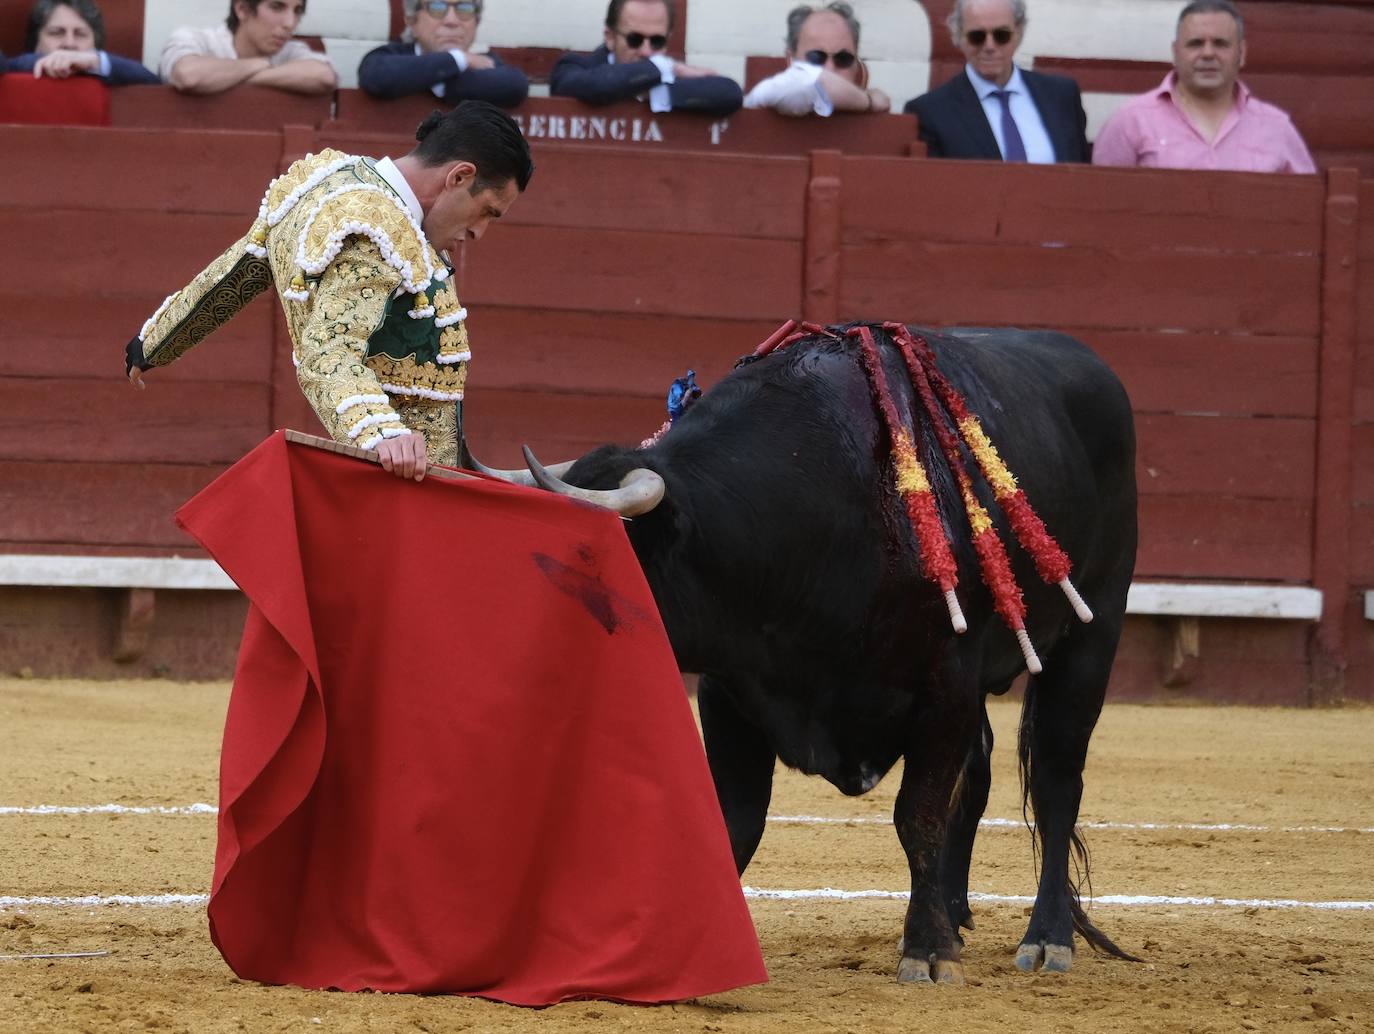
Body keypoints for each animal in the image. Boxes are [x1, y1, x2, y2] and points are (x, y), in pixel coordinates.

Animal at [530, 324, 1132, 983]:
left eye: (600, 552)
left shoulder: (944, 683)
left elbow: (918, 815)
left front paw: (928, 951)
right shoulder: (730, 688)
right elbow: (736, 819)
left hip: (1091, 633)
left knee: (1055, 782)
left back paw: (1047, 938)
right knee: (977, 778)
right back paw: (954, 912)